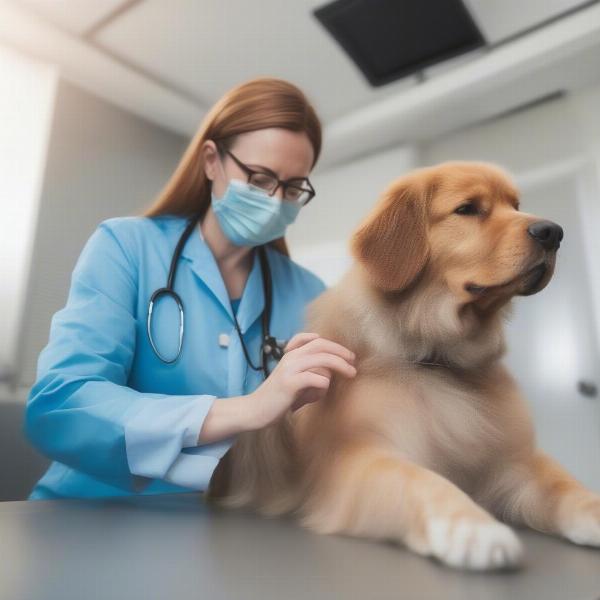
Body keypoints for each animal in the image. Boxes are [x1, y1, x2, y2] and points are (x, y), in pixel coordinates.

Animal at [204, 161, 596, 572]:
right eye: (468, 209)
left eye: (516, 205)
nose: (552, 232)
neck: (438, 358)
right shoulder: (354, 461)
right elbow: (420, 480)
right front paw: (472, 526)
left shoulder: (513, 462)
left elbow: (565, 486)